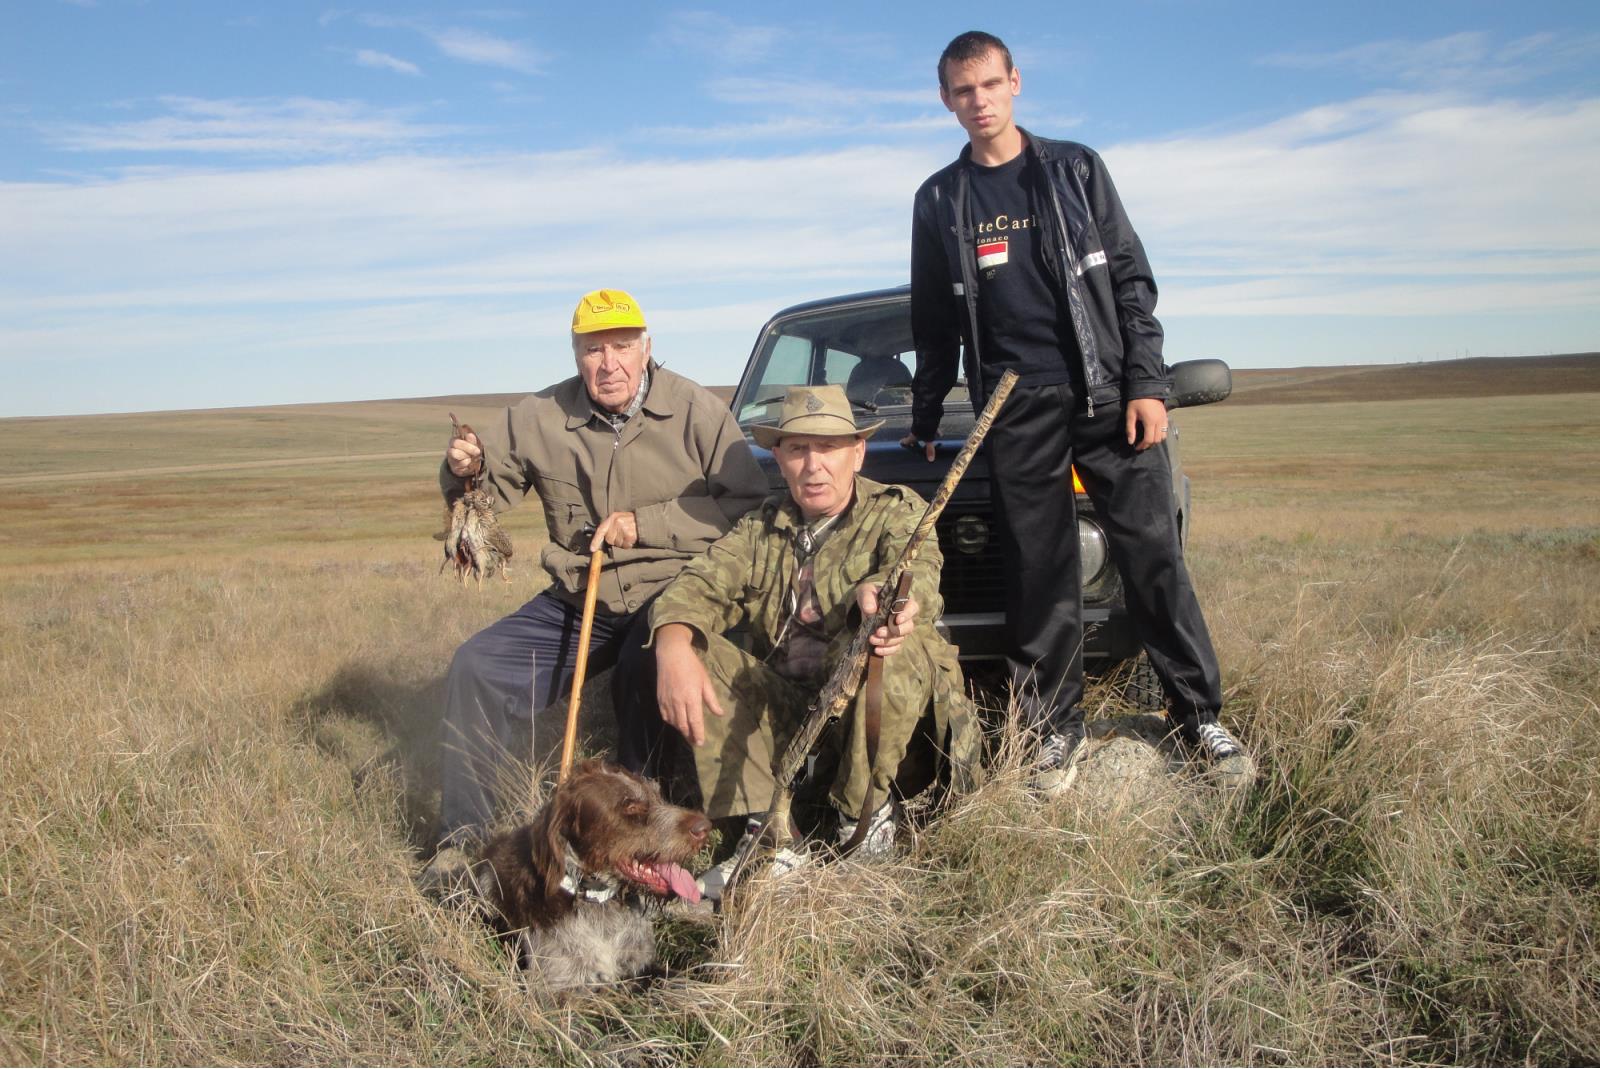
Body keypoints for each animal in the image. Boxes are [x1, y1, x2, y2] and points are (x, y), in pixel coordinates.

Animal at [470, 759, 711, 989]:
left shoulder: (643, 965)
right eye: (631, 807)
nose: (705, 828)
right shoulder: (556, 989)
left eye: (658, 795)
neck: (597, 900)